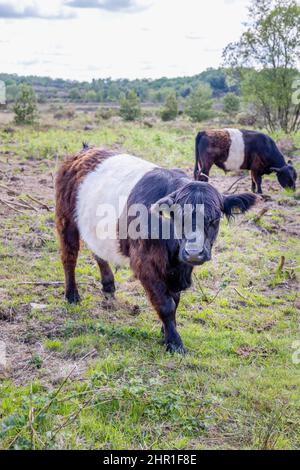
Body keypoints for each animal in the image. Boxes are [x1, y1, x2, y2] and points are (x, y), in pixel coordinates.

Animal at [55, 147, 255, 352]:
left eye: (215, 219)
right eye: (178, 218)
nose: (193, 252)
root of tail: (86, 151)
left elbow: (175, 301)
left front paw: (165, 331)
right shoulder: (145, 263)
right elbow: (165, 304)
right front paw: (174, 342)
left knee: (99, 252)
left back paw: (108, 287)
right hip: (66, 218)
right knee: (69, 256)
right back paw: (72, 295)